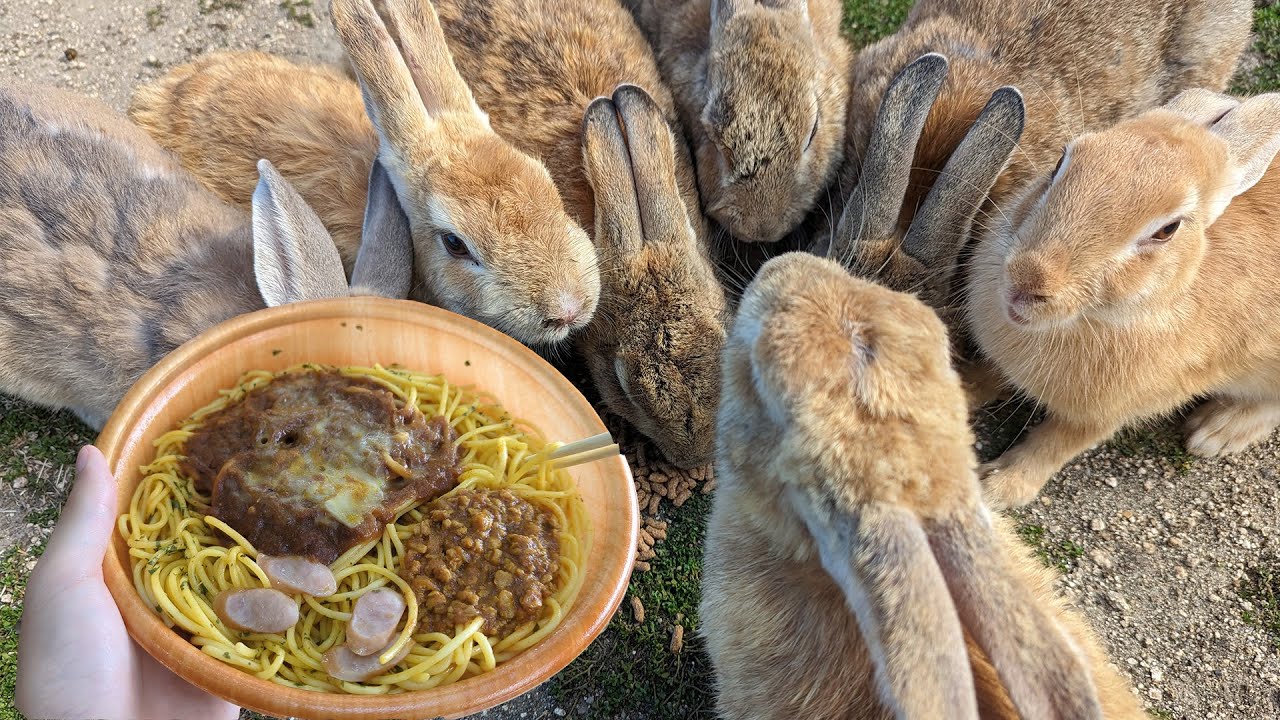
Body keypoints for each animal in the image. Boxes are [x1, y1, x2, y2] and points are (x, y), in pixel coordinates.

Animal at [965, 88, 1280, 509]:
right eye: (1061, 161)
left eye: (1167, 230)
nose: (1028, 279)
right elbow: (987, 374)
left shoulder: (1106, 413)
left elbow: (1056, 443)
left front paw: (995, 487)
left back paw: (1216, 432)